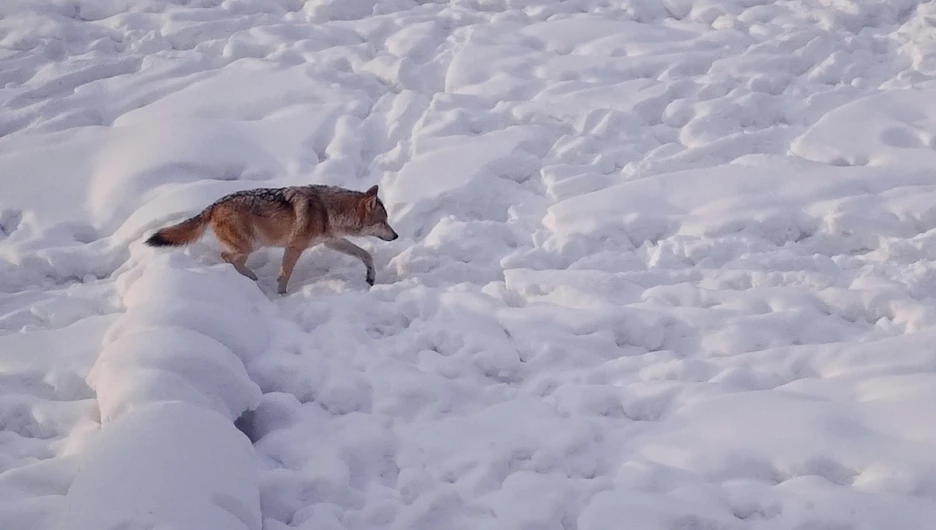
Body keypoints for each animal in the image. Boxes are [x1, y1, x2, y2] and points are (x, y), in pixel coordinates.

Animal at [144, 184, 398, 292]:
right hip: (251, 245)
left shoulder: (331, 241)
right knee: (226, 256)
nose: (396, 235)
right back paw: (250, 278)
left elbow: (366, 254)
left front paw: (371, 277)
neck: (328, 210)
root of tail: (213, 206)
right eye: (384, 222)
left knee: (231, 258)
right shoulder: (294, 247)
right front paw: (281, 296)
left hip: (249, 247)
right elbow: (285, 274)